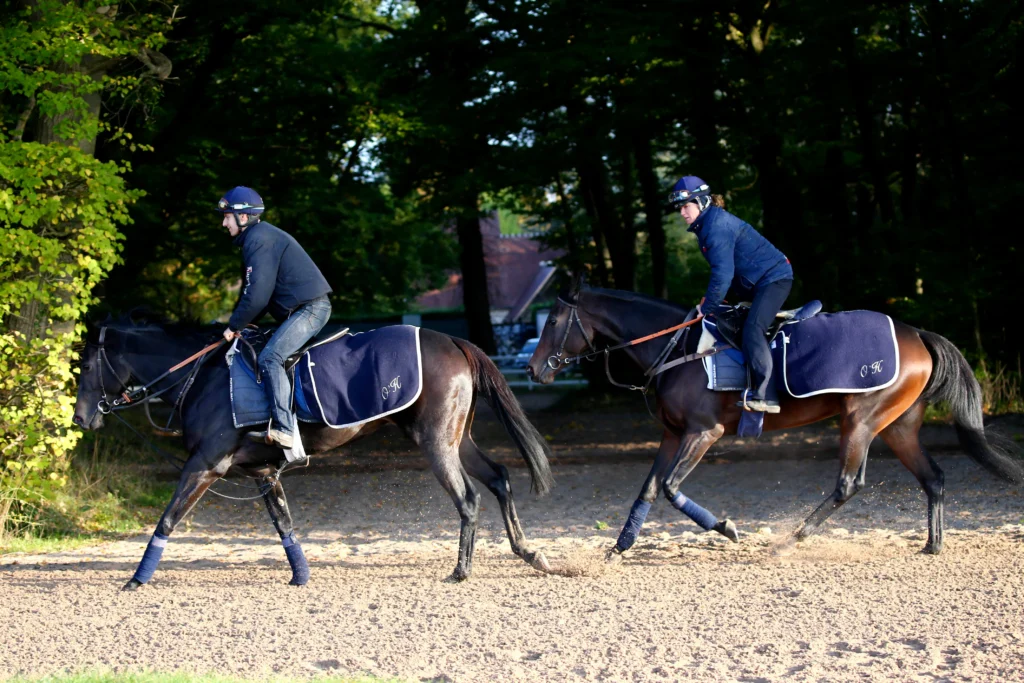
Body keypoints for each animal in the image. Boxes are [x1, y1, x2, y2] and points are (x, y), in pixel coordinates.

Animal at [73, 317, 557, 589]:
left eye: (86, 366)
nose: (81, 418)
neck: (205, 377)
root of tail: (453, 341)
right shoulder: (262, 473)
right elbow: (283, 525)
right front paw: (300, 576)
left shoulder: (203, 466)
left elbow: (168, 519)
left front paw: (137, 579)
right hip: (458, 439)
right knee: (498, 478)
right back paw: (528, 552)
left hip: (436, 442)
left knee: (469, 498)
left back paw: (461, 571)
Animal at [528, 282, 1024, 561]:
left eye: (551, 321)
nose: (533, 370)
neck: (679, 347)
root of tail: (916, 334)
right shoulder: (673, 434)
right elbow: (649, 489)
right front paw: (619, 547)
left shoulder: (703, 433)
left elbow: (670, 488)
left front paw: (728, 529)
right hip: (897, 427)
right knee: (933, 478)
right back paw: (932, 545)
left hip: (861, 421)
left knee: (849, 485)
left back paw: (789, 541)